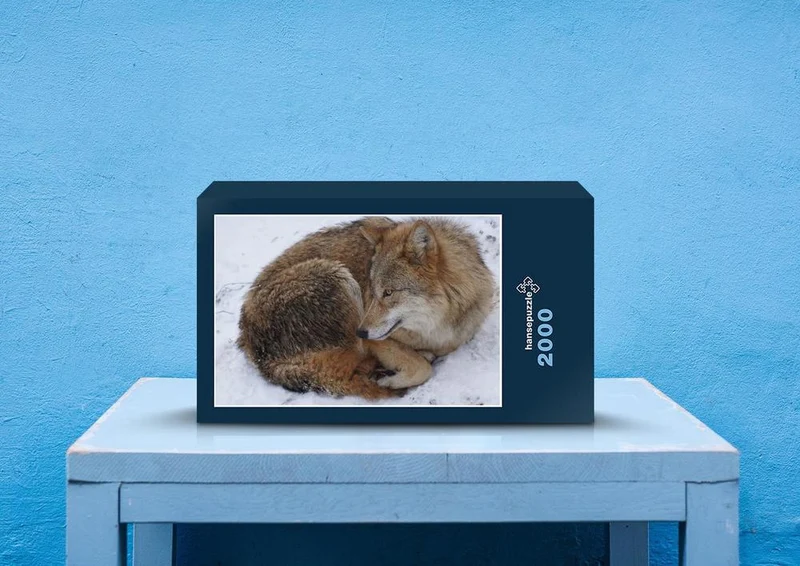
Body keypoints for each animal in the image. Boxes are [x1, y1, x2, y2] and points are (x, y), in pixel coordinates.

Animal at [237, 216, 496, 399]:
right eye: (372, 290)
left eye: (388, 292)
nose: (360, 331)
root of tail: (251, 345)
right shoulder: (377, 342)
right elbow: (423, 368)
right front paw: (391, 379)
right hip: (337, 275)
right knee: (346, 370)